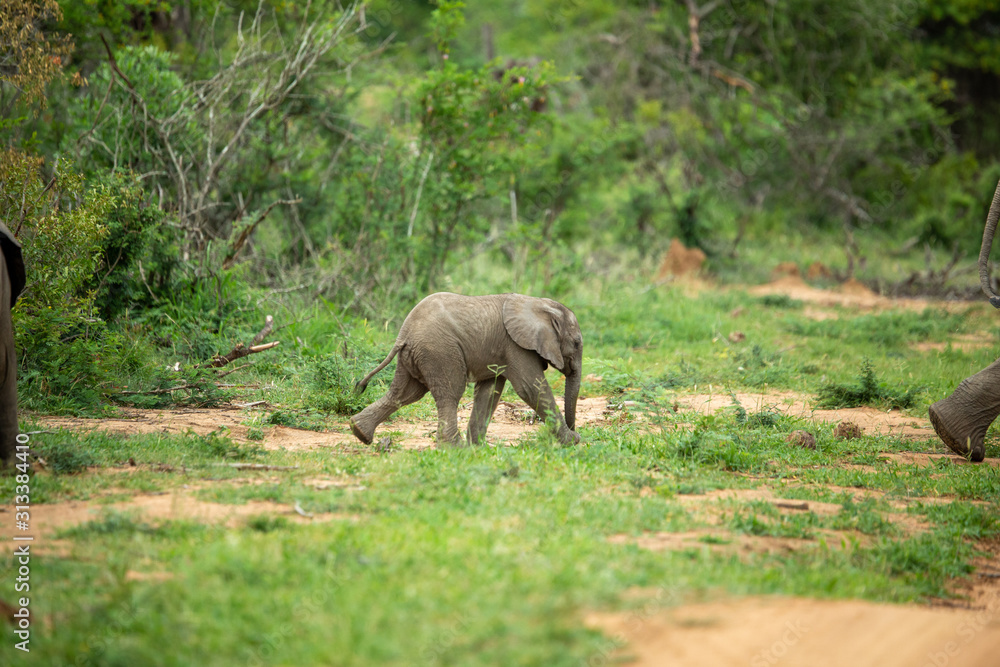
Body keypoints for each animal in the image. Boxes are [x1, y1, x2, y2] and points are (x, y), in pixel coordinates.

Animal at [350, 292, 583, 447]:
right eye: (577, 343)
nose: (575, 430)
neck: (540, 303)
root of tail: (403, 333)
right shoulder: (516, 346)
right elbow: (531, 388)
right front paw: (572, 441)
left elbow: (489, 392)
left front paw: (478, 447)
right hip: (439, 350)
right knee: (450, 393)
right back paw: (453, 448)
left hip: (416, 354)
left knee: (403, 394)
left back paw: (360, 432)